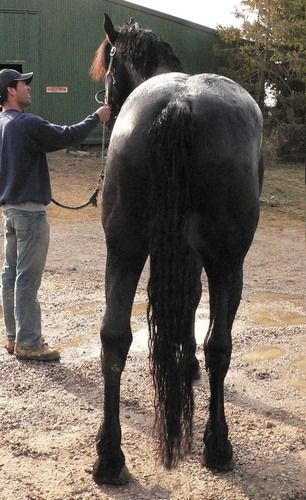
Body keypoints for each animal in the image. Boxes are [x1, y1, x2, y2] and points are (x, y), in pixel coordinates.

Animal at [89, 14, 264, 484]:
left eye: (108, 68)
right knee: (219, 344)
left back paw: (109, 458)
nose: (104, 114)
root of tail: (181, 104)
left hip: (124, 248)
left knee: (114, 338)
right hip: (227, 263)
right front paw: (188, 365)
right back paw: (218, 446)